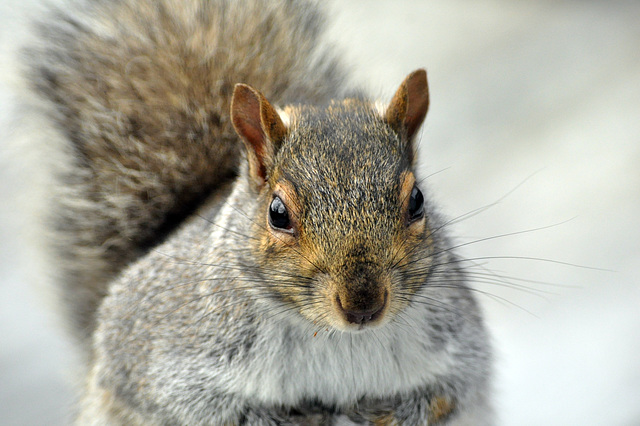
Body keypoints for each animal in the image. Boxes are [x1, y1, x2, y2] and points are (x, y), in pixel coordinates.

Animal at [22, 0, 496, 422]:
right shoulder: (153, 348)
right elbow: (184, 401)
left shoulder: (459, 340)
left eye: (417, 201)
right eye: (278, 213)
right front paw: (288, 417)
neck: (333, 336)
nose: (363, 305)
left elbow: (452, 391)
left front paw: (394, 411)